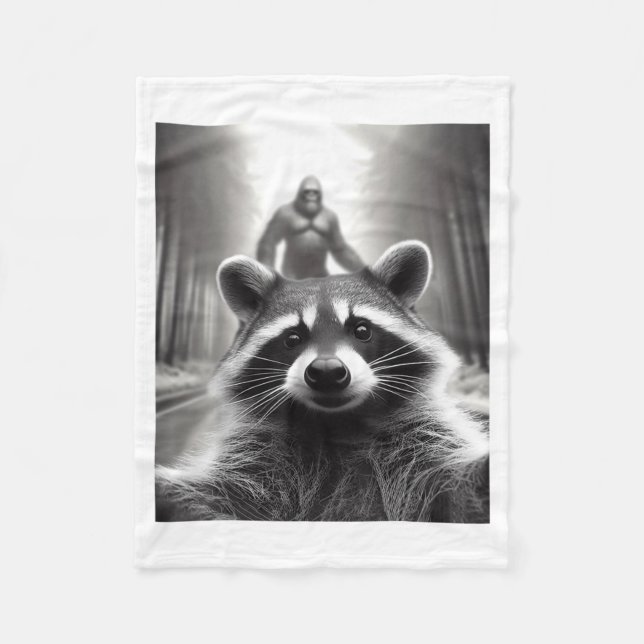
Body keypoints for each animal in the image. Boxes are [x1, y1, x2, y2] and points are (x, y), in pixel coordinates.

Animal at [156, 241, 489, 522]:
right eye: (293, 338)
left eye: (361, 330)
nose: (327, 371)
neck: (337, 422)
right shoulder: (257, 458)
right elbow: (220, 494)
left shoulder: (423, 439)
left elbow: (450, 488)